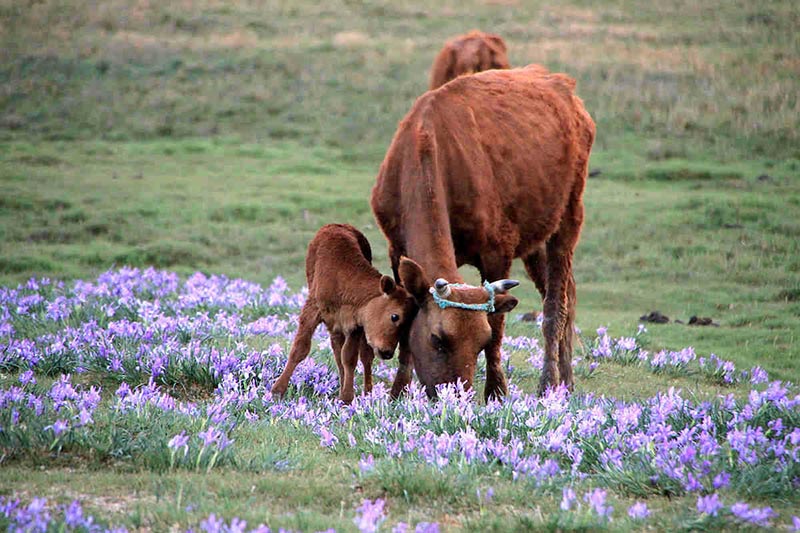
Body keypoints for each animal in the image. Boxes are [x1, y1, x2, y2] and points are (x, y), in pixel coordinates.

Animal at [270, 222, 418, 402]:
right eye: (395, 316)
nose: (387, 352)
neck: (342, 275)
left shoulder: (355, 325)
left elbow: (349, 358)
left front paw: (346, 398)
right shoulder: (311, 312)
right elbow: (300, 349)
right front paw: (277, 391)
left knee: (363, 357)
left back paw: (367, 393)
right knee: (337, 351)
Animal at [370, 64, 592, 396]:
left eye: (480, 342)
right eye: (438, 339)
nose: (456, 396)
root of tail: (564, 86)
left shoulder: (498, 250)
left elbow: (498, 327)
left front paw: (496, 392)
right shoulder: (396, 247)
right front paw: (399, 390)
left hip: (568, 218)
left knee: (556, 305)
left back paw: (550, 383)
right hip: (536, 239)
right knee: (566, 294)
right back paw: (566, 380)